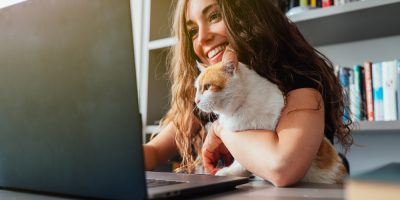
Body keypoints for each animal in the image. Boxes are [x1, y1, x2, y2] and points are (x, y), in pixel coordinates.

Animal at [194, 47, 346, 184]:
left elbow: (242, 163)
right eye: (197, 89)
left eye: (207, 87)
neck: (243, 102)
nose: (196, 101)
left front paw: (228, 172)